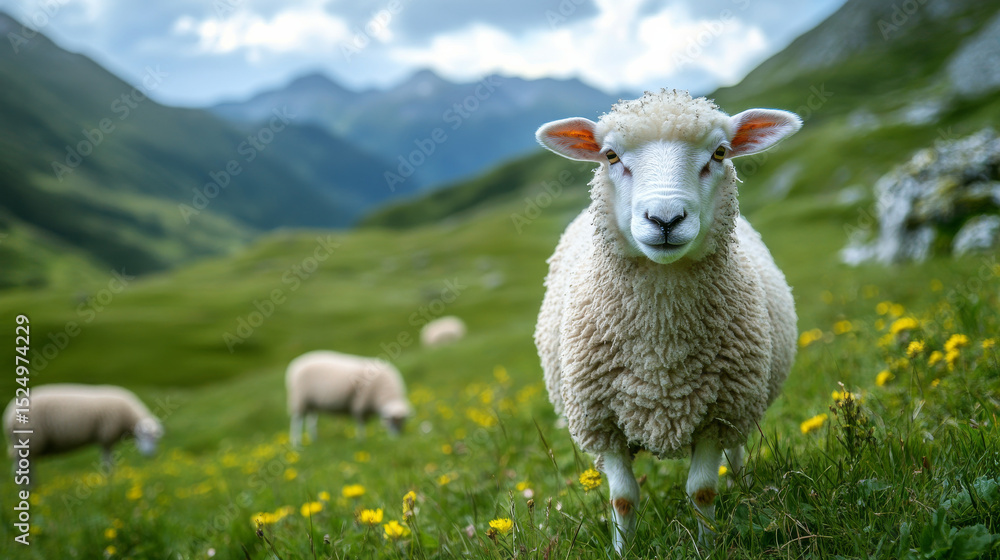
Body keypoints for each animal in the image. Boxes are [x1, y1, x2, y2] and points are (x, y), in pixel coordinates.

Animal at [3, 384, 164, 474]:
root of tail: (8, 415)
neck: (128, 415)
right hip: (29, 440)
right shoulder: (106, 435)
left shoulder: (106, 438)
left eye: (157, 439)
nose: (151, 455)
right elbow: (108, 462)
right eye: (144, 435)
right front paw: (109, 478)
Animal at [534, 89, 800, 553]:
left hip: (743, 406)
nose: (665, 219)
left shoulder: (718, 413)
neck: (661, 347)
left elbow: (703, 491)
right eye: (610, 155)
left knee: (738, 452)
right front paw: (622, 551)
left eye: (719, 152)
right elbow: (623, 499)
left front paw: (707, 547)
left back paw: (746, 486)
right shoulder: (603, 422)